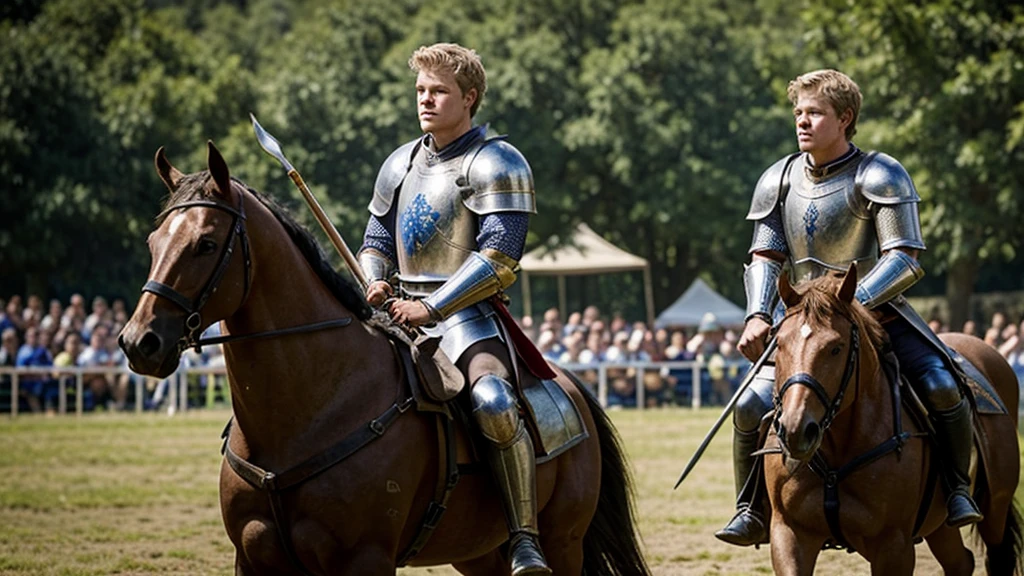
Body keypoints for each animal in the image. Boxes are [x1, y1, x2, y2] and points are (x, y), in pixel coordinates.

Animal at [119, 140, 647, 573]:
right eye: (153, 242)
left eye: (205, 243)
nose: (138, 342)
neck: (306, 412)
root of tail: (571, 385)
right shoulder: (253, 557)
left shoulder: (364, 557)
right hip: (478, 553)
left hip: (563, 541)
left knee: (496, 408)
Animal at [770, 268, 1024, 573]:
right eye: (779, 344)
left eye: (836, 348)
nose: (796, 430)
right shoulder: (790, 533)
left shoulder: (894, 545)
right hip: (940, 525)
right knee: (961, 562)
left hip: (996, 504)